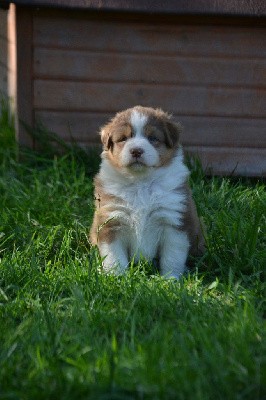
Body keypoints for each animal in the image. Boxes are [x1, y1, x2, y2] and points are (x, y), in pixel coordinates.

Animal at [90, 104, 205, 278]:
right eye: (123, 139)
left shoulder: (174, 221)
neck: (140, 183)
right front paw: (115, 278)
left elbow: (172, 257)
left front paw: (170, 279)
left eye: (152, 138)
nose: (136, 150)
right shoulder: (111, 220)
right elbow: (114, 257)